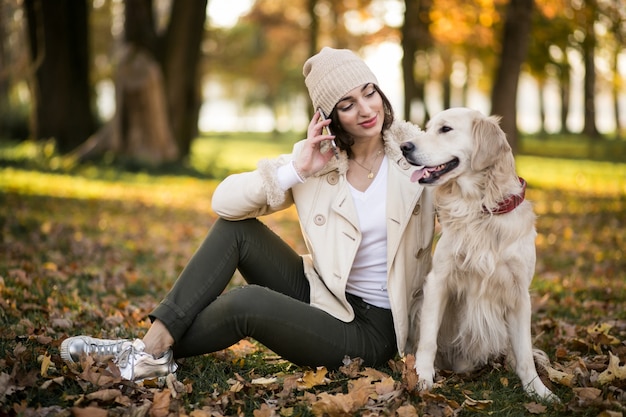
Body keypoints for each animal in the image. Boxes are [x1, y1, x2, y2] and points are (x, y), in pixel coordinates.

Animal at [400, 106, 556, 400]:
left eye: (445, 129)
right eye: (428, 127)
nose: (404, 147)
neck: (480, 208)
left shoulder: (519, 292)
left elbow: (525, 352)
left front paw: (537, 389)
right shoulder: (438, 281)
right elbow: (428, 339)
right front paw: (423, 376)